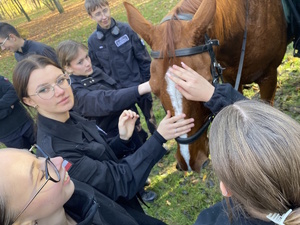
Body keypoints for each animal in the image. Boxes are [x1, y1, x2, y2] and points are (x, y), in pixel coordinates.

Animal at [123, 0, 288, 172]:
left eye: (207, 82)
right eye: (154, 91)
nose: (188, 161)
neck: (244, 22)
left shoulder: (269, 78)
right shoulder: (230, 79)